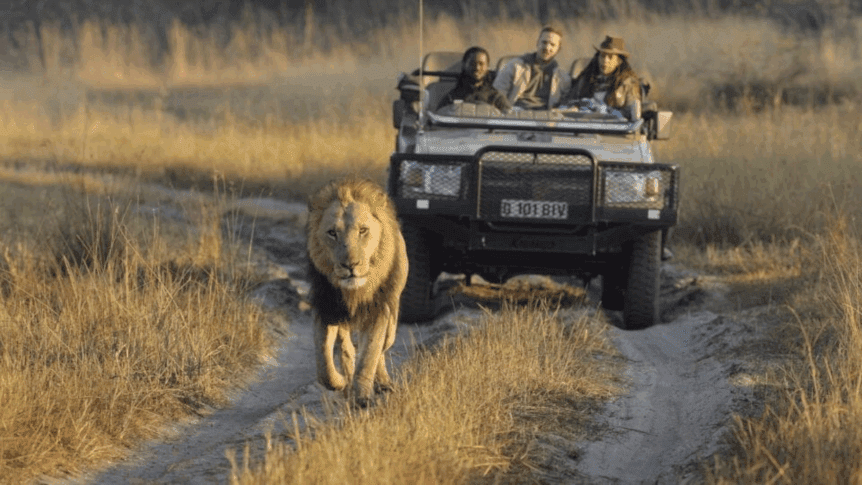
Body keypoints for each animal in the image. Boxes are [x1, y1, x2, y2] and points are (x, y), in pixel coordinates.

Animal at [306, 176, 408, 406]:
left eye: (362, 231)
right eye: (332, 233)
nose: (350, 265)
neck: (354, 292)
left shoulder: (379, 310)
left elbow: (370, 354)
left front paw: (362, 397)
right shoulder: (326, 308)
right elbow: (323, 364)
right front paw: (341, 382)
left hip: (392, 315)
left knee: (382, 349)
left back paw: (383, 383)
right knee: (346, 348)